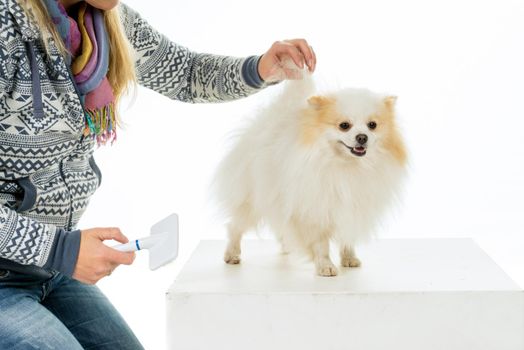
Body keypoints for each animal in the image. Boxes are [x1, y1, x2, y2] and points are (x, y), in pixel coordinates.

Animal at [212, 74, 406, 276]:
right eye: (344, 126)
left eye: (372, 125)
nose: (362, 137)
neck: (347, 166)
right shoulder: (314, 209)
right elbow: (321, 244)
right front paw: (325, 266)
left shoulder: (350, 208)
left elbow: (347, 236)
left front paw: (349, 258)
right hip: (252, 200)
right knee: (235, 226)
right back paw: (232, 254)